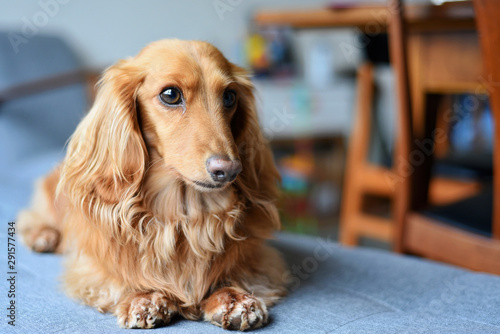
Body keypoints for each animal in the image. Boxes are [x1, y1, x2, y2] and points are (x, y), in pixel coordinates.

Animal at [17, 38, 288, 328]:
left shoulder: (262, 259)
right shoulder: (89, 266)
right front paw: (144, 296)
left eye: (230, 96)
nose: (229, 170)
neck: (183, 215)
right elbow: (117, 277)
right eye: (170, 95)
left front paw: (233, 297)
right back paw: (42, 235)